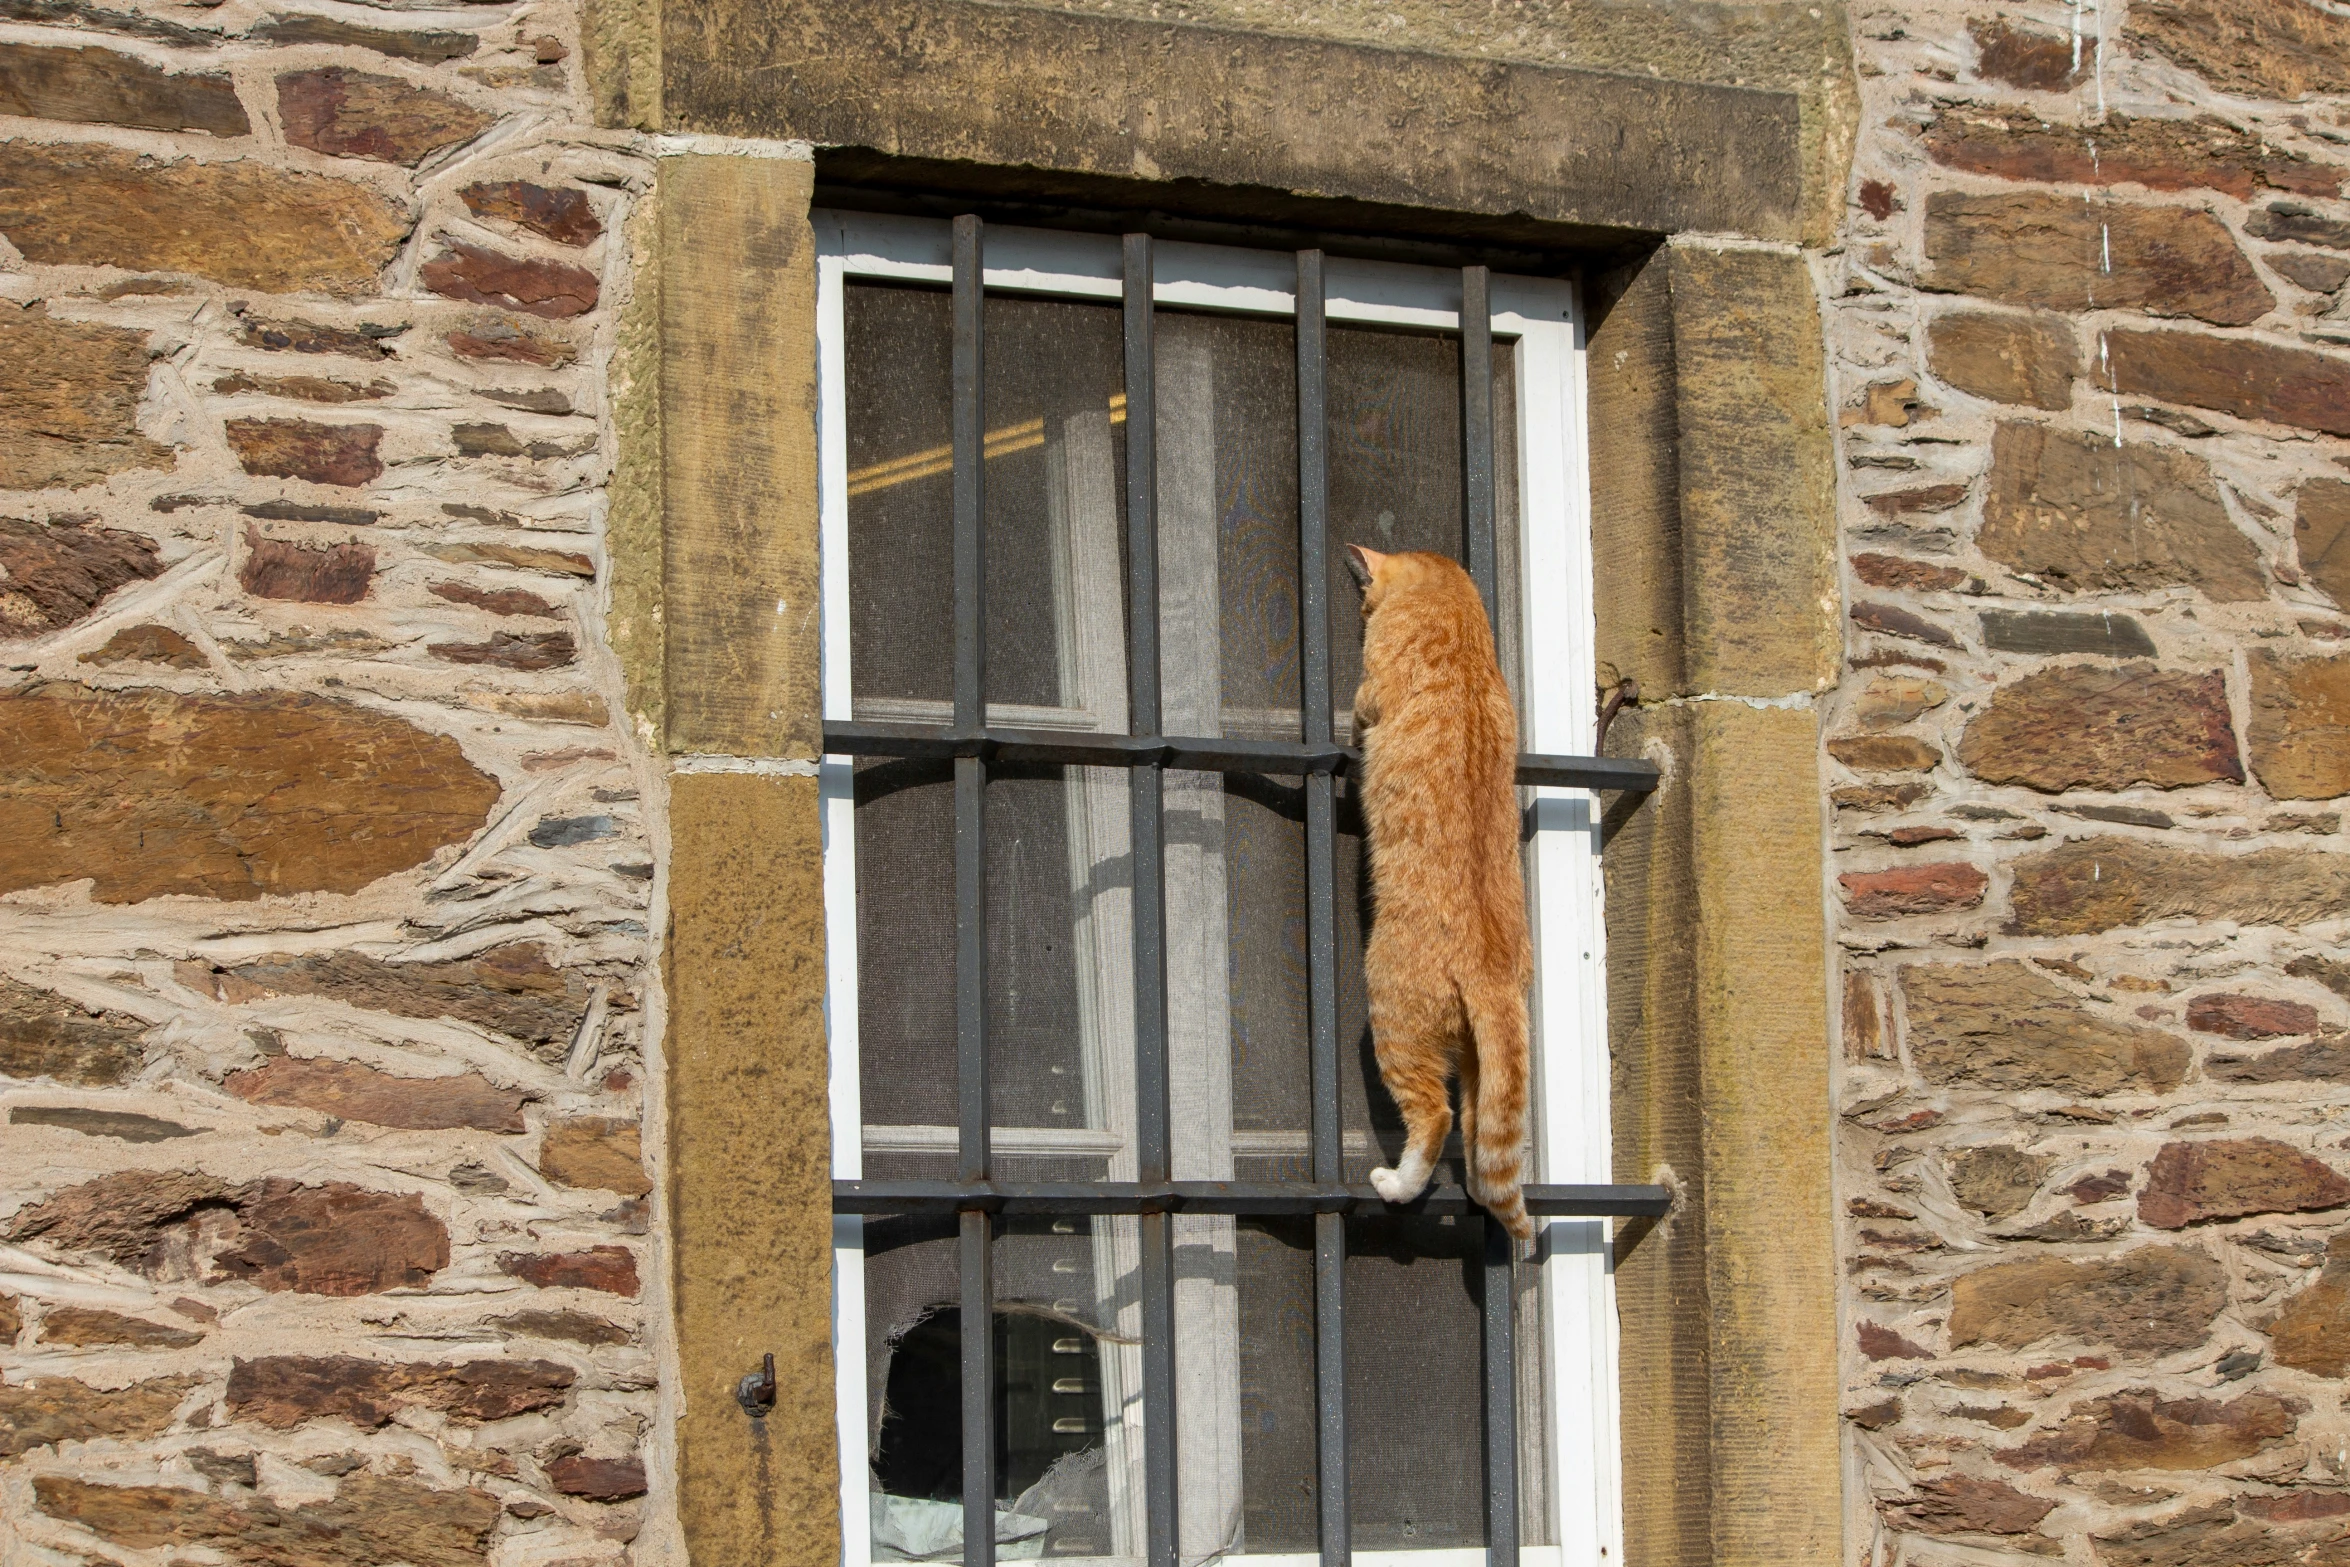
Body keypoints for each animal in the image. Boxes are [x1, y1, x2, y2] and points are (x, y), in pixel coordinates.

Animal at [1353, 545, 1532, 1240]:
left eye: (1364, 599)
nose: (1361, 606)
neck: (1456, 615)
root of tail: (1492, 973)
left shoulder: (1375, 684)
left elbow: (1362, 702)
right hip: (1483, 1060)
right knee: (1482, 1128)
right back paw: (1480, 1188)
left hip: (1391, 1016)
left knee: (1435, 1116)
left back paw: (1397, 1184)